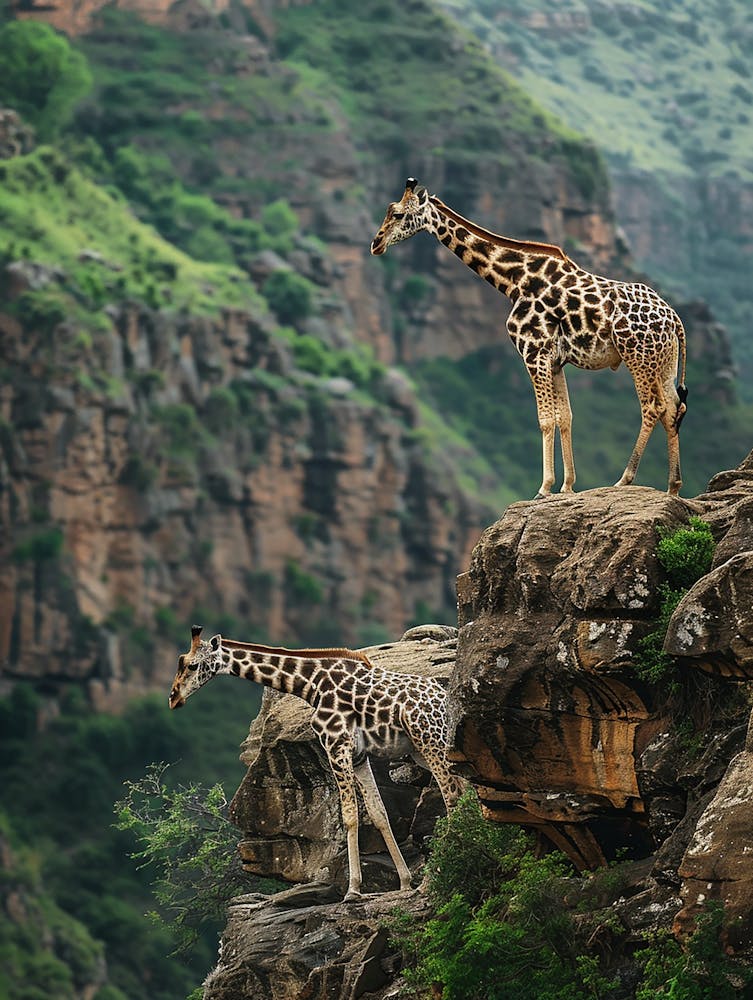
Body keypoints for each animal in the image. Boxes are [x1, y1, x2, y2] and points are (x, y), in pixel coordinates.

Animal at [169, 625, 463, 901]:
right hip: (423, 751)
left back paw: (440, 873)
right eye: (180, 662)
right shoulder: (359, 756)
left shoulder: (336, 745)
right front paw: (404, 883)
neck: (311, 684)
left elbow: (349, 816)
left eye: (192, 665)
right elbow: (379, 813)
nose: (173, 698)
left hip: (429, 741)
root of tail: (444, 699)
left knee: (452, 797)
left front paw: (352, 890)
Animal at [371, 178, 688, 498]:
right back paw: (673, 487)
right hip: (664, 362)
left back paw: (624, 479)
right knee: (674, 407)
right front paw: (567, 486)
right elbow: (565, 417)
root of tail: (675, 320)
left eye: (398, 214)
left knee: (653, 407)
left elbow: (546, 419)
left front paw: (544, 487)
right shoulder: (555, 360)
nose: (376, 244)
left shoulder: (534, 352)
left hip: (637, 355)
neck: (514, 281)